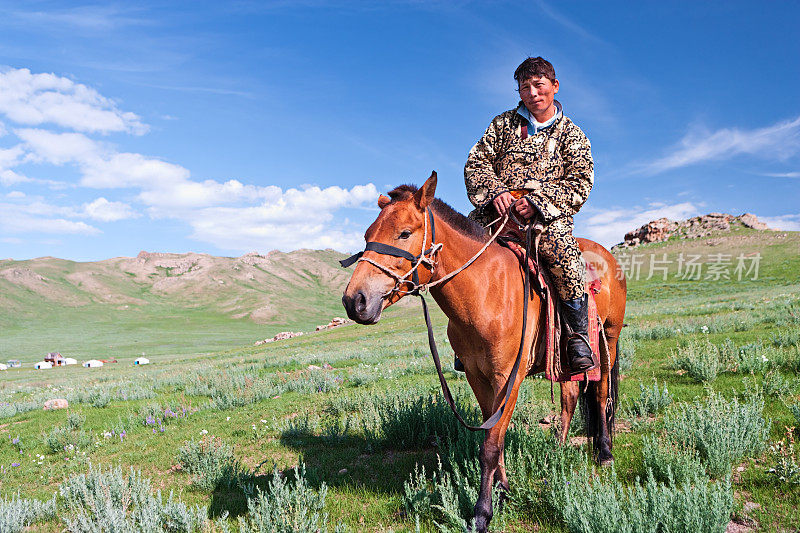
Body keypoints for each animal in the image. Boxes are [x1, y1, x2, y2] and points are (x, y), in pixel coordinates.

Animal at [340, 172, 628, 528]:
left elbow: (490, 444)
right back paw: (558, 448)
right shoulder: (478, 376)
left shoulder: (508, 378)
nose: (355, 301)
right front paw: (503, 492)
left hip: (609, 338)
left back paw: (604, 453)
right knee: (570, 394)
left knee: (601, 393)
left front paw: (482, 513)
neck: (485, 292)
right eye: (367, 236)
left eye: (405, 233)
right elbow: (494, 435)